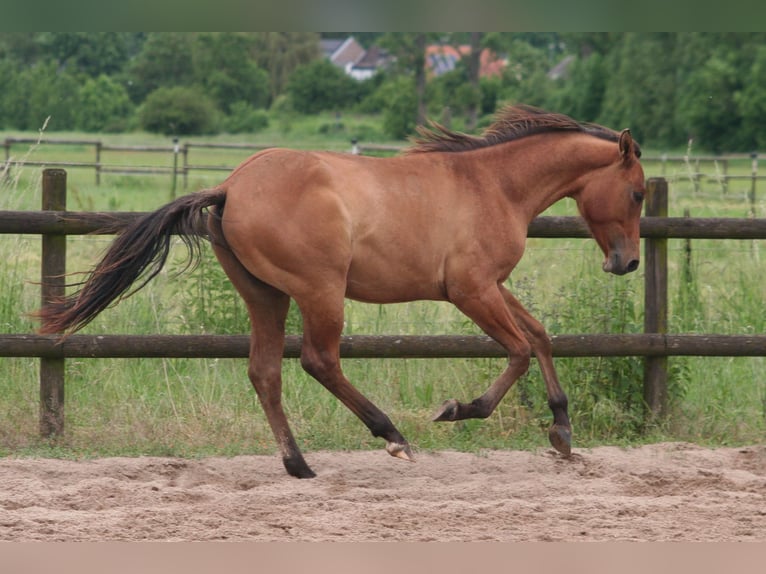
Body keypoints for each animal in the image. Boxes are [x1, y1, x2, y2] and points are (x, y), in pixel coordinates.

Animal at [37, 106, 648, 480]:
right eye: (639, 192)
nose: (628, 263)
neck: (492, 185)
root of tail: (230, 186)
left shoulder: (493, 286)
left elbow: (541, 336)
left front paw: (562, 430)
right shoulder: (470, 289)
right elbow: (519, 350)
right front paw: (458, 409)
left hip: (266, 295)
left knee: (266, 371)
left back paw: (299, 464)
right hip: (320, 291)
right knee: (318, 360)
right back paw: (392, 435)